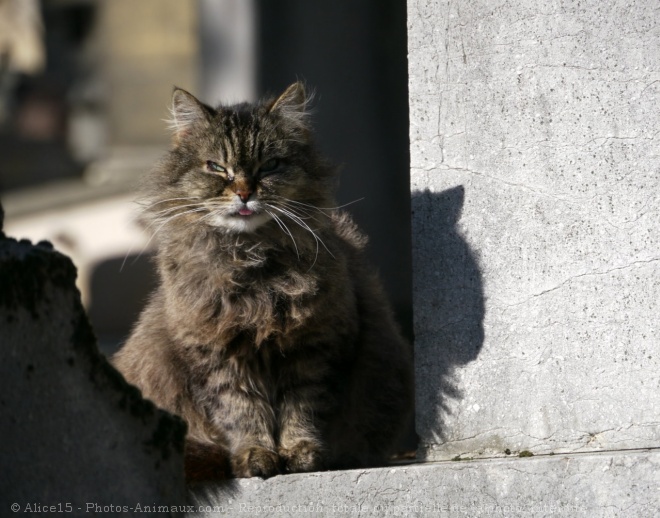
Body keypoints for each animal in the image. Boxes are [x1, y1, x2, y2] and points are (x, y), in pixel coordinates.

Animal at [112, 82, 412, 484]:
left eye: (269, 165)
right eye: (216, 167)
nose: (244, 192)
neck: (252, 261)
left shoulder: (314, 346)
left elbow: (301, 408)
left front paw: (301, 452)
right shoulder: (218, 354)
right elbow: (242, 411)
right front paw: (256, 457)